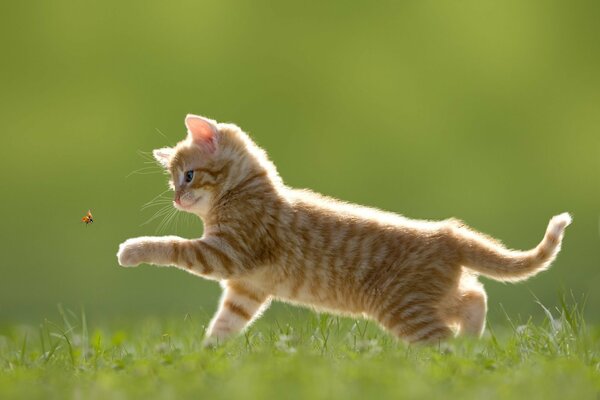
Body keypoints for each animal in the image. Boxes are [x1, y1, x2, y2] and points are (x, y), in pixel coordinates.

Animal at [117, 114, 572, 346]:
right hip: (432, 298)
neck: (244, 192)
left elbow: (173, 246)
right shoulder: (247, 288)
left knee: (443, 340)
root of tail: (448, 234)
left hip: (403, 309)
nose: (177, 198)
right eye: (172, 181)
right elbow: (226, 322)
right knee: (475, 297)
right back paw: (474, 345)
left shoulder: (226, 253)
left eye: (188, 176)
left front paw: (132, 250)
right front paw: (211, 355)